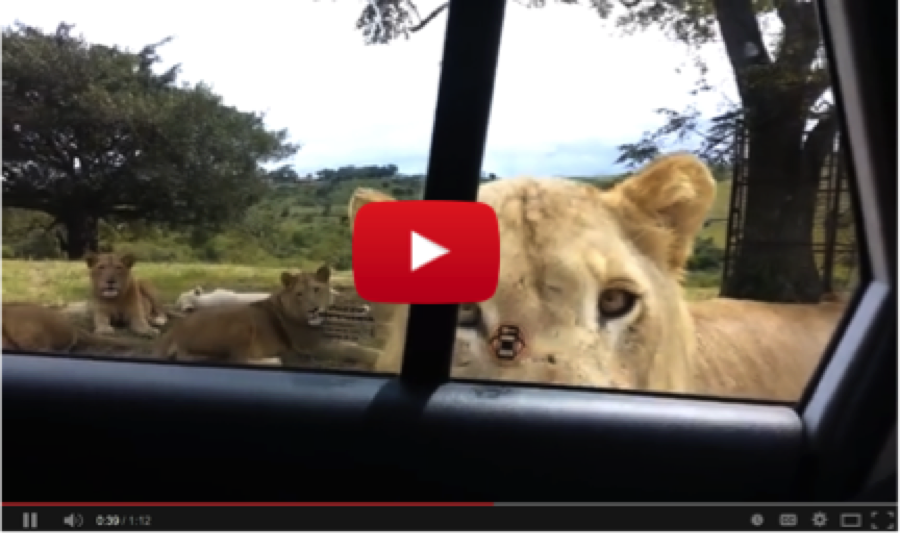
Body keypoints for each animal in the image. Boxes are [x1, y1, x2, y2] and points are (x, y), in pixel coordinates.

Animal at [155, 265, 381, 367]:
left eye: (316, 290)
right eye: (299, 294)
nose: (314, 310)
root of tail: (173, 332)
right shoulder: (313, 345)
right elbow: (354, 349)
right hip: (242, 324)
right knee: (236, 359)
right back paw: (274, 360)